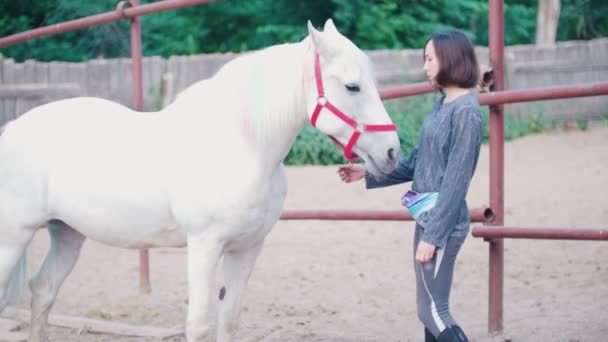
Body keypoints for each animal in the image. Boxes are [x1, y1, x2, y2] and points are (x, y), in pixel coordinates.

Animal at [0, 20, 402, 340]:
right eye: (352, 86)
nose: (392, 152)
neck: (241, 147)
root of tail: (12, 129)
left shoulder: (246, 248)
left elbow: (229, 319)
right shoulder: (204, 246)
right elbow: (199, 324)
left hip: (67, 233)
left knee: (43, 291)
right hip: (14, 237)